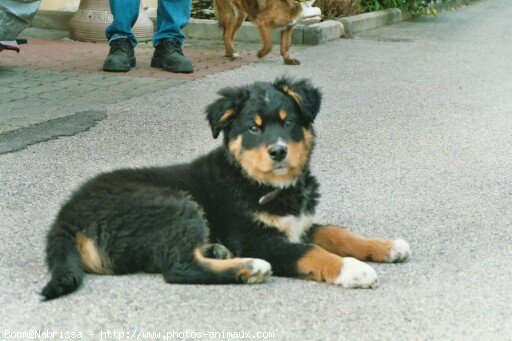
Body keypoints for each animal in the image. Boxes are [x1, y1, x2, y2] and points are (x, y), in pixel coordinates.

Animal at [43, 77, 412, 300]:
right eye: (253, 128)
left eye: (289, 122)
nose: (278, 152)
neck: (263, 184)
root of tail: (65, 217)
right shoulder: (255, 238)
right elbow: (309, 251)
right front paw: (353, 269)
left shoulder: (300, 223)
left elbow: (337, 232)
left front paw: (385, 246)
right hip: (172, 203)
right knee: (176, 267)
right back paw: (249, 268)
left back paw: (218, 252)